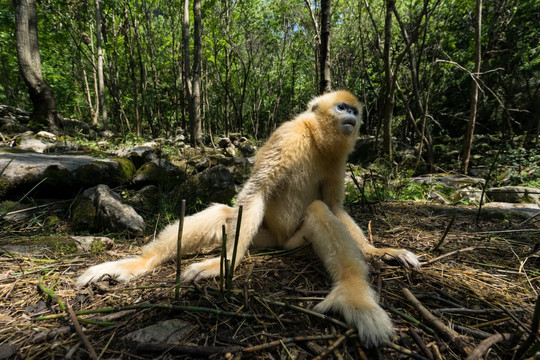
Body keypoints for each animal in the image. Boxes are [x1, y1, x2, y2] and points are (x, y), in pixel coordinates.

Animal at [77, 90, 422, 346]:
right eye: (341, 107)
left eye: (354, 110)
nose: (351, 117)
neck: (313, 137)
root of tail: (279, 242)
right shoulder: (287, 135)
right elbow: (256, 193)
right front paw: (223, 264)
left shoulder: (339, 158)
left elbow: (335, 207)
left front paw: (380, 251)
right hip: (262, 236)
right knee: (228, 213)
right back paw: (139, 264)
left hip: (291, 241)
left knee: (318, 211)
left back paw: (355, 296)